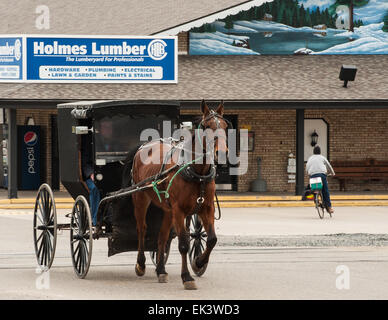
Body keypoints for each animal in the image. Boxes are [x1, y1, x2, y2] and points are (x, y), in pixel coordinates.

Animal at [130, 100, 229, 290]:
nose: (221, 153)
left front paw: (198, 262)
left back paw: (161, 270)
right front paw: (187, 277)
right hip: (140, 198)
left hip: (168, 210)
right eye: (207, 126)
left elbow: (211, 239)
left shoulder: (206, 208)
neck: (197, 173)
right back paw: (140, 264)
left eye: (225, 126)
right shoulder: (179, 210)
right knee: (141, 229)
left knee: (162, 236)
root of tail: (144, 146)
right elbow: (183, 244)